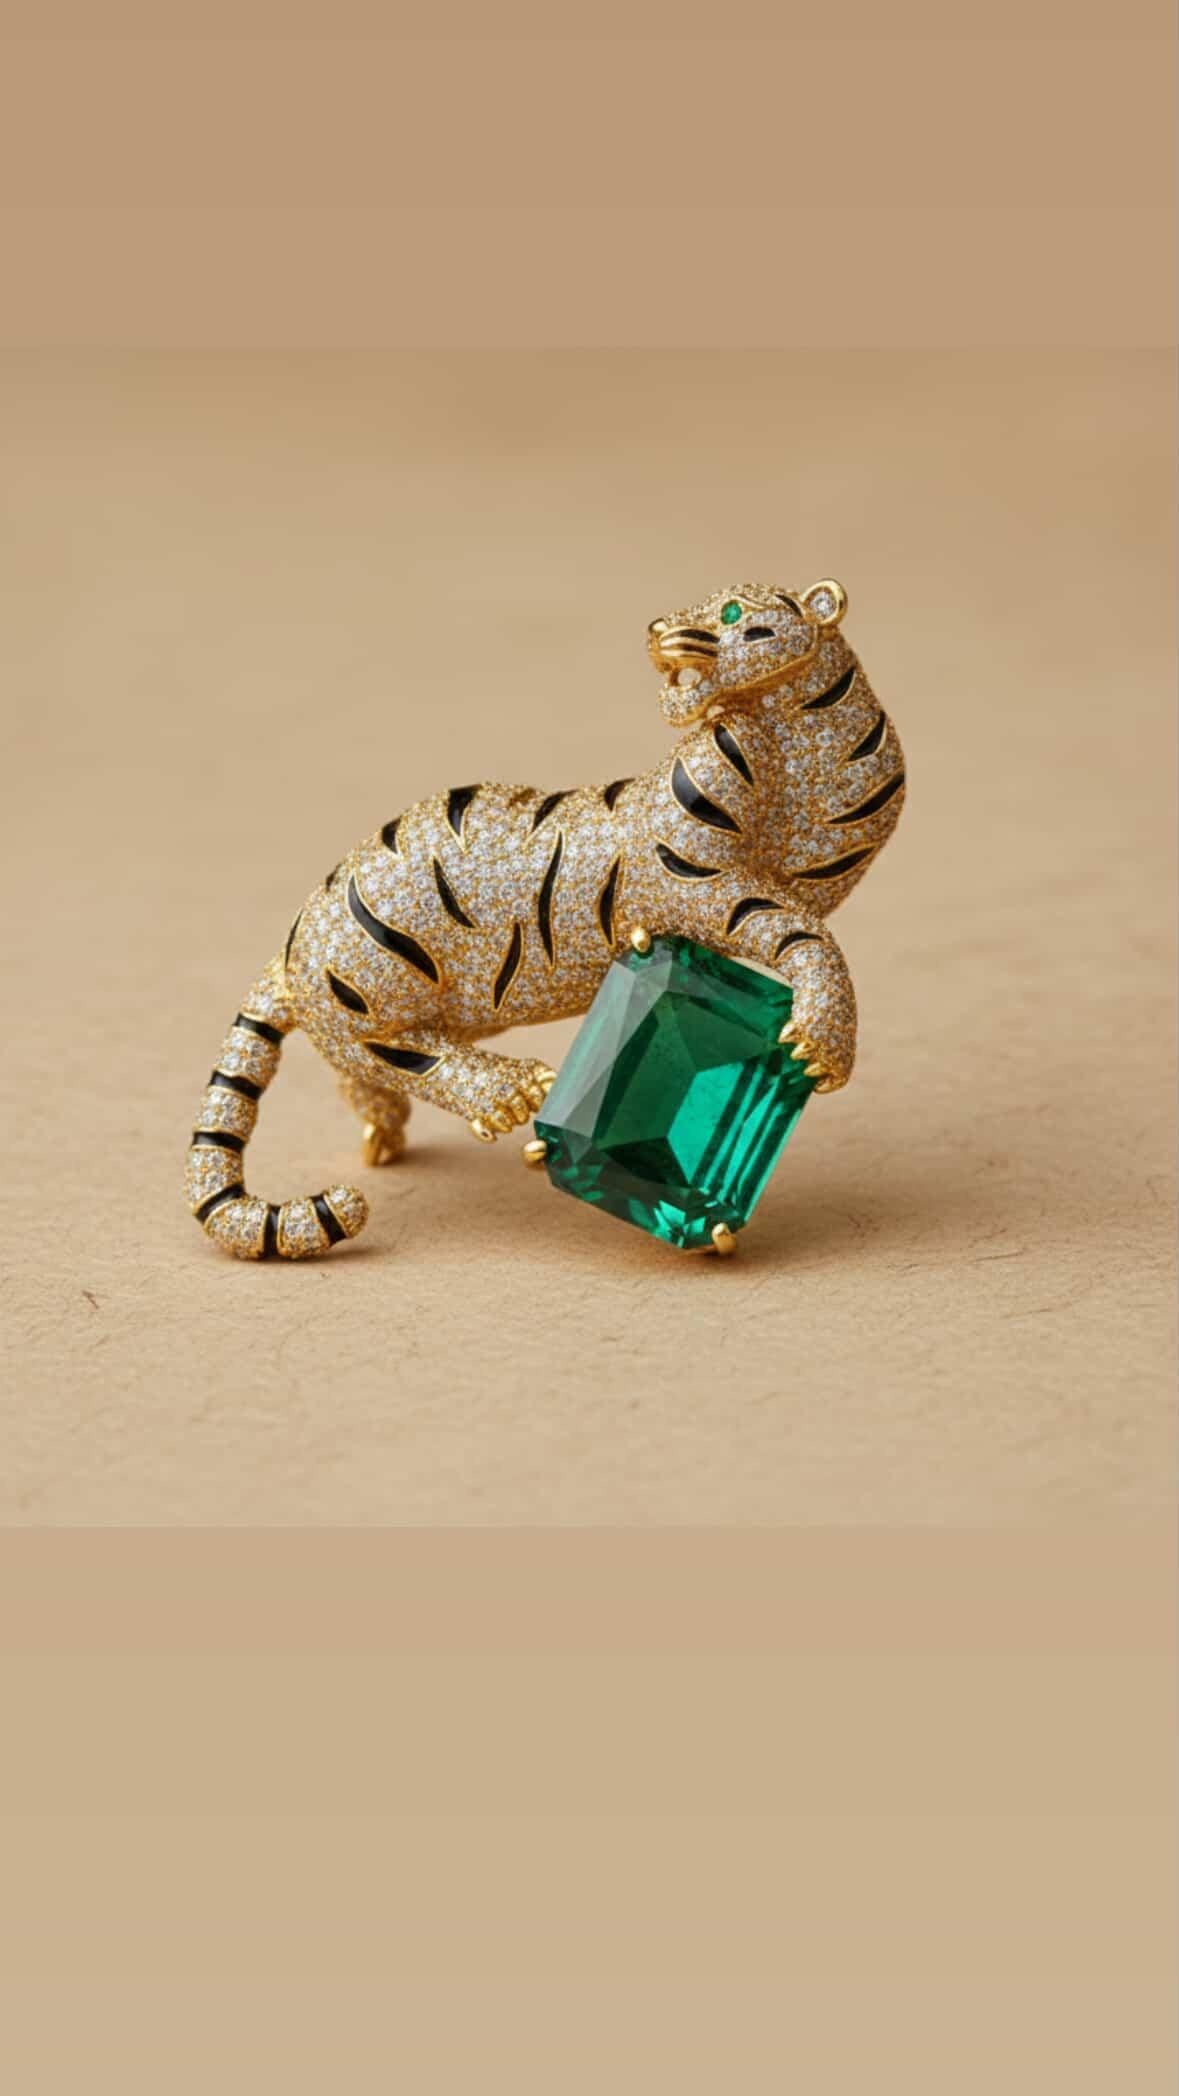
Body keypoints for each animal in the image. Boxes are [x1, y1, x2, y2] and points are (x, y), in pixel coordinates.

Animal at [185, 577, 905, 1259]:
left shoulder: (817, 860)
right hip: (373, 980)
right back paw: (503, 1091)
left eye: (730, 611)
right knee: (385, 1050)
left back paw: (383, 1130)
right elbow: (807, 933)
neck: (789, 744)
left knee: (357, 1066)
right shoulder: (692, 879)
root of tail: (294, 942)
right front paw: (823, 1045)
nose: (657, 630)